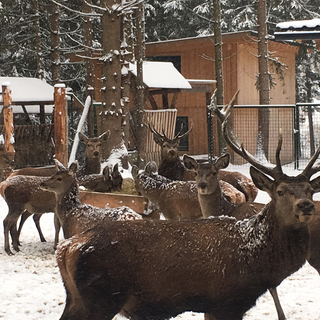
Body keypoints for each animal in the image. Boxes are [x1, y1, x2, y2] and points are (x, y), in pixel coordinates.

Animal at [55, 130, 320, 320]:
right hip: (100, 299)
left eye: (309, 190)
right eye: (280, 191)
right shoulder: (227, 301)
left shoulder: (213, 305)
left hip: (76, 299)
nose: (306, 206)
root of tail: (66, 248)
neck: (257, 261)